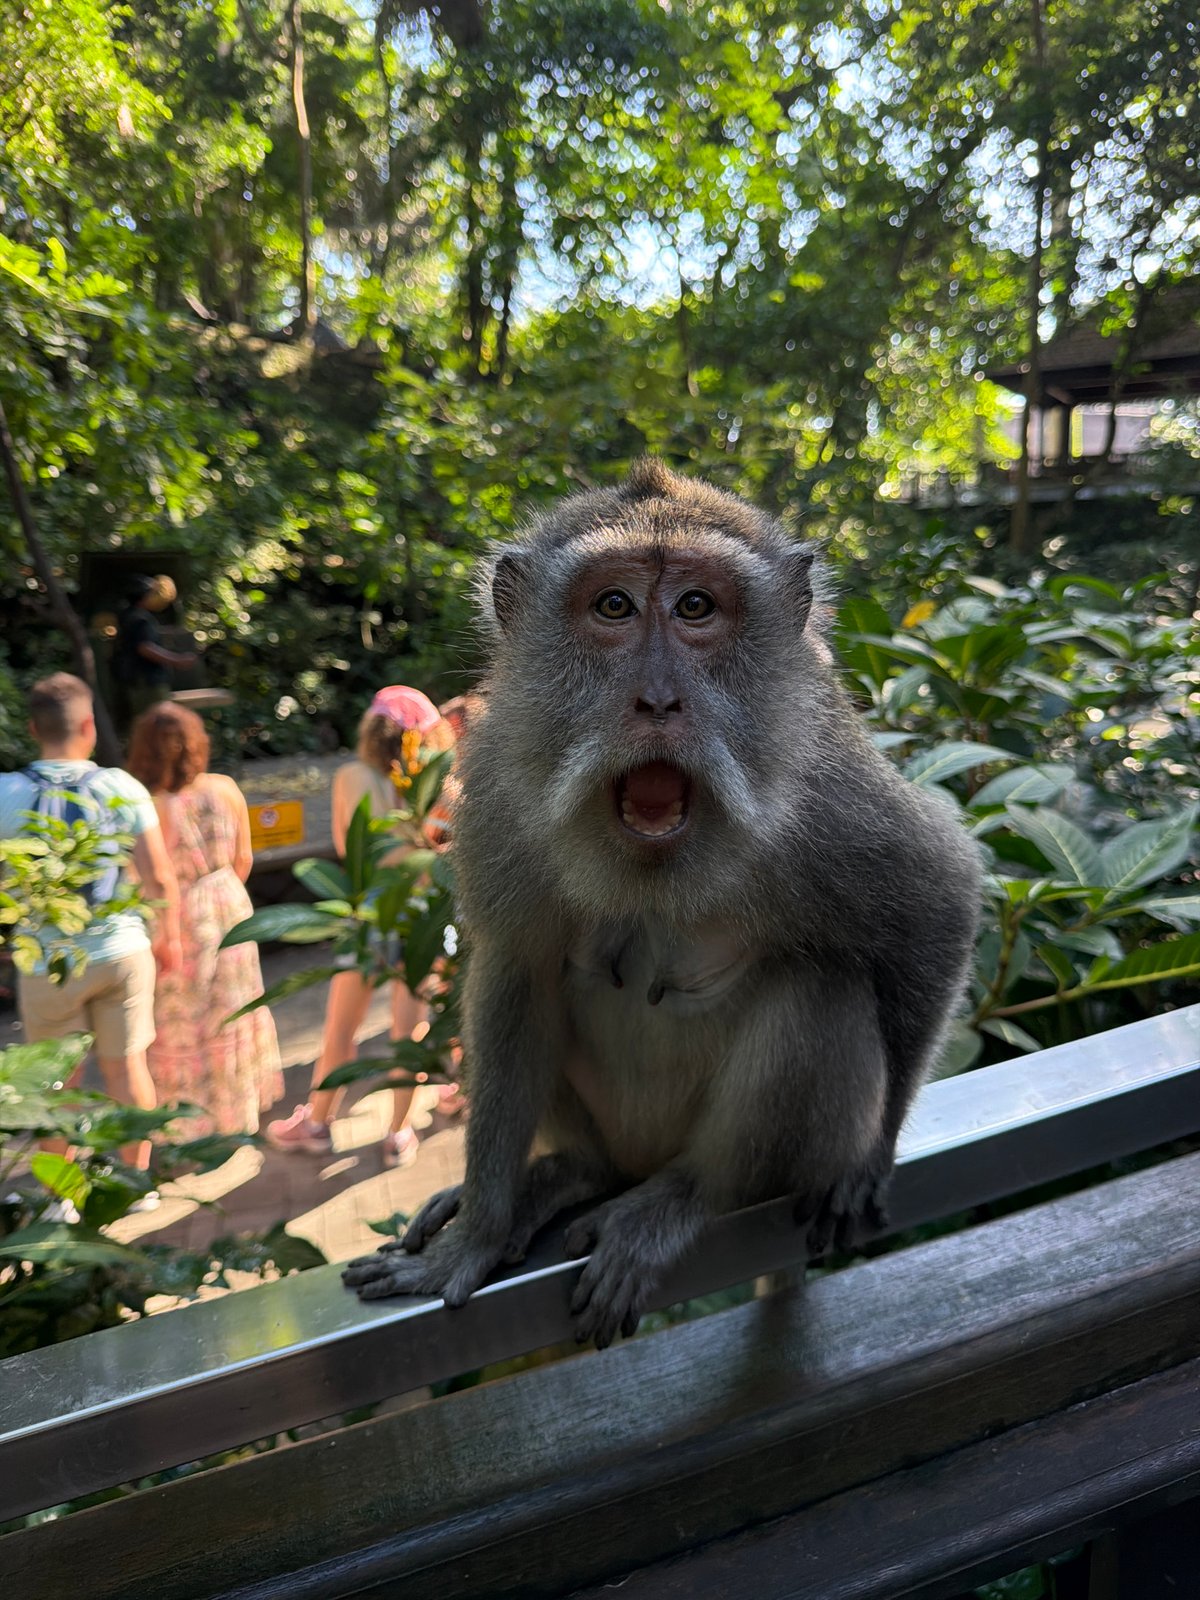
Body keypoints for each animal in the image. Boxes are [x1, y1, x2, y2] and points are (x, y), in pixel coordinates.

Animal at [343, 459, 981, 1348]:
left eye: (696, 608)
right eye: (614, 606)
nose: (656, 700)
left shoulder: (827, 794)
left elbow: (938, 902)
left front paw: (867, 1161)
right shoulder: (499, 791)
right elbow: (515, 973)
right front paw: (475, 1236)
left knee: (823, 990)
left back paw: (684, 1196)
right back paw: (569, 1176)